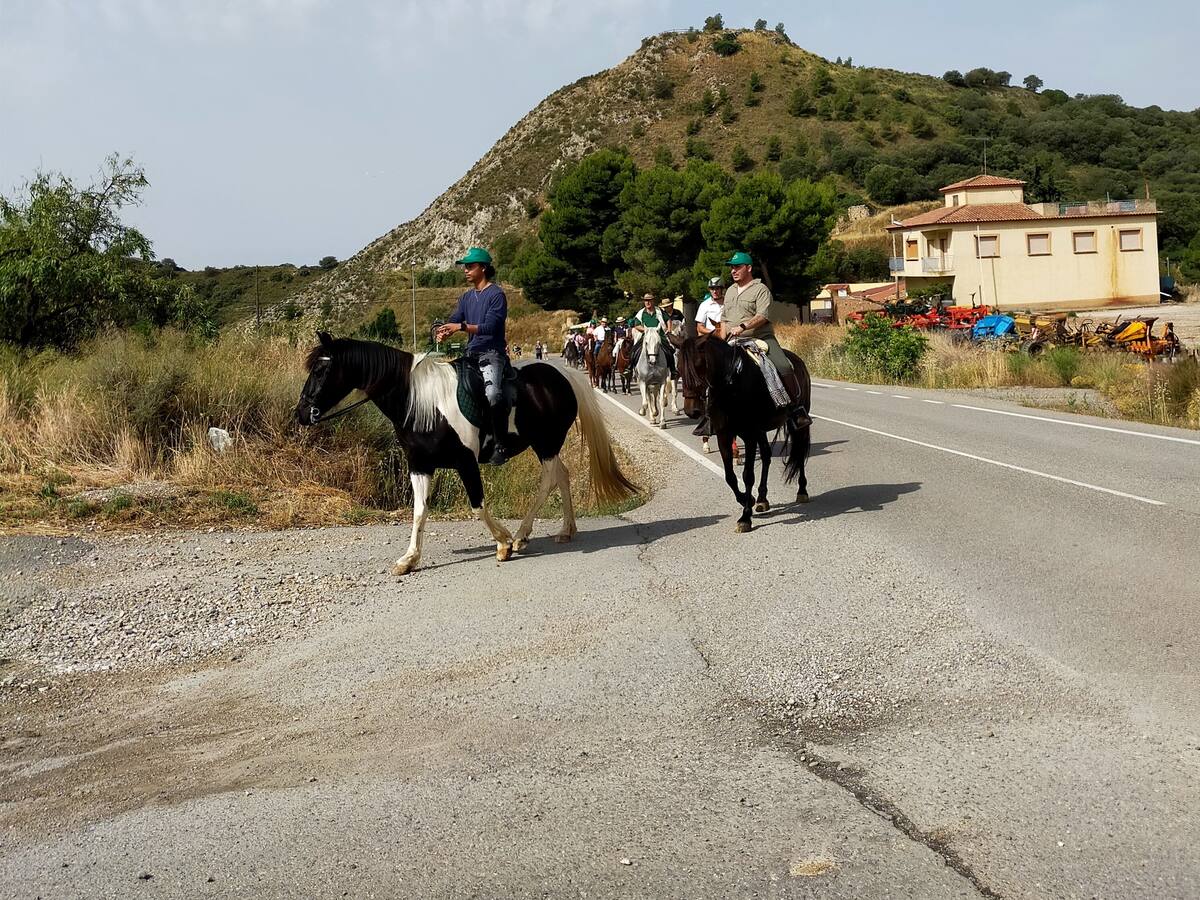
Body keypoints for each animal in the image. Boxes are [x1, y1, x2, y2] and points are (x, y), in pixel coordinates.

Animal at [296, 333, 638, 574]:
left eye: (321, 369)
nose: (301, 413)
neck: (421, 404)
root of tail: (562, 376)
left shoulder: (465, 462)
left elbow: (477, 507)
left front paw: (503, 543)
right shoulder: (419, 464)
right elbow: (419, 511)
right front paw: (409, 559)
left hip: (547, 443)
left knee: (550, 480)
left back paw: (521, 535)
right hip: (546, 445)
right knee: (563, 477)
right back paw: (565, 530)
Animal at [673, 334, 811, 532]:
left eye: (700, 364)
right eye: (678, 367)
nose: (692, 411)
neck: (731, 386)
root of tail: (798, 360)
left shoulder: (749, 435)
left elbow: (747, 475)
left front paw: (745, 517)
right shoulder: (724, 435)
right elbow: (730, 476)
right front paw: (749, 499)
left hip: (798, 424)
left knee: (799, 453)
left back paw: (802, 491)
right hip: (761, 431)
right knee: (767, 456)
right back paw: (762, 499)